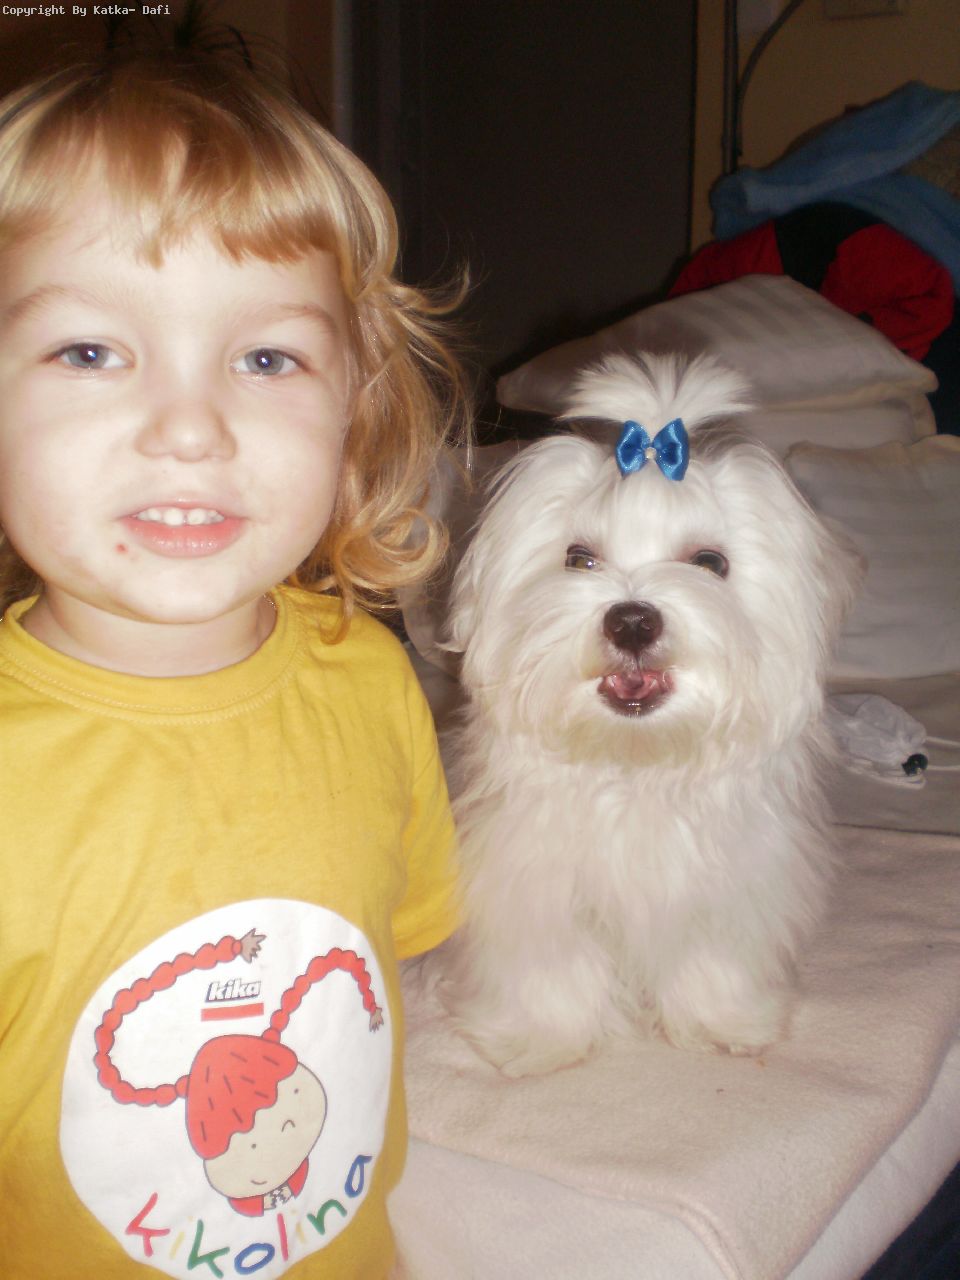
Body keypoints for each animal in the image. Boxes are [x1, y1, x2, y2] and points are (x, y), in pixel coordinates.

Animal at [436, 353, 859, 1076]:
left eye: (710, 562)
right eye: (579, 559)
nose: (632, 620)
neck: (635, 764)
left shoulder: (732, 884)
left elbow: (713, 958)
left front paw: (724, 1023)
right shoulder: (530, 882)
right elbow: (552, 965)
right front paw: (541, 1040)